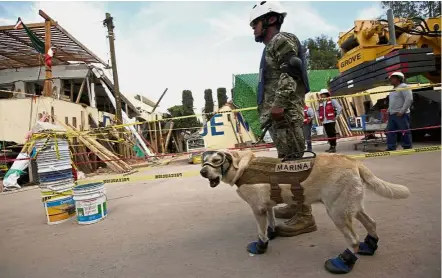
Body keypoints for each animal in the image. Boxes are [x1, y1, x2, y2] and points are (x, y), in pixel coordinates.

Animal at [199, 150, 410, 274]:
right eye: (203, 161)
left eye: (216, 160)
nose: (202, 172)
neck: (242, 167)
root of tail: (353, 162)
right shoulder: (267, 206)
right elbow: (271, 220)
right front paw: (272, 233)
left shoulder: (257, 208)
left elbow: (260, 232)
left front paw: (261, 246)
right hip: (351, 207)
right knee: (371, 223)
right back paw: (370, 246)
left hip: (337, 212)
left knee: (353, 240)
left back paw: (343, 262)